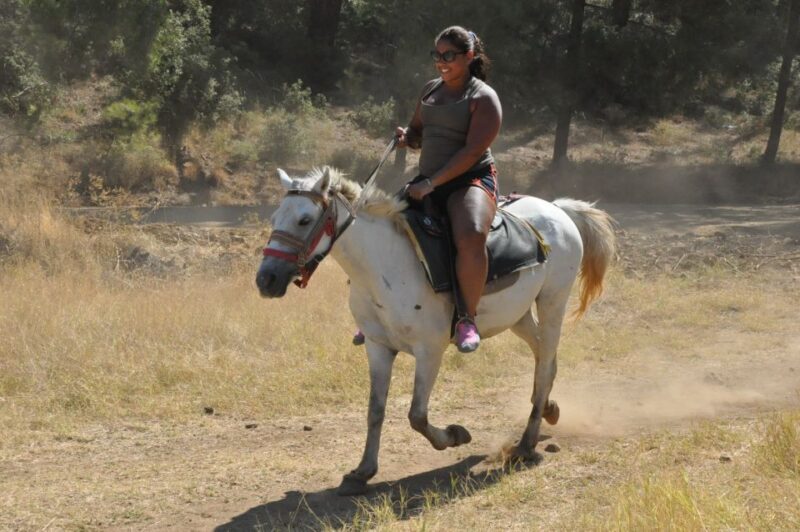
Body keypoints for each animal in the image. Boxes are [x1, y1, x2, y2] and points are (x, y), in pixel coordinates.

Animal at [256, 166, 616, 496]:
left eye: (304, 220)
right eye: (275, 217)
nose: (266, 280)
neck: (385, 265)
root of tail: (557, 209)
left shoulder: (429, 351)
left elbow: (416, 414)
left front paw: (455, 435)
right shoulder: (377, 346)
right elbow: (375, 410)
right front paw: (362, 471)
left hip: (553, 301)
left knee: (544, 364)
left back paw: (526, 444)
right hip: (519, 316)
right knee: (546, 356)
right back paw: (549, 410)